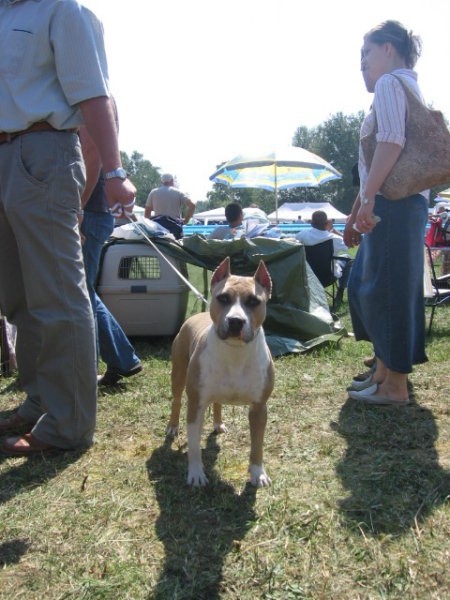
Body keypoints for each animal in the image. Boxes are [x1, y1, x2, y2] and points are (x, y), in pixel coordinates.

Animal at [167, 258, 274, 488]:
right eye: (223, 298)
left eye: (254, 301)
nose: (235, 321)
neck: (235, 353)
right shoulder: (196, 405)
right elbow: (194, 445)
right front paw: (196, 473)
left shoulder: (259, 408)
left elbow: (257, 445)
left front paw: (258, 473)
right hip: (178, 375)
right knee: (176, 400)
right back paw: (172, 426)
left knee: (217, 403)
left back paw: (218, 424)